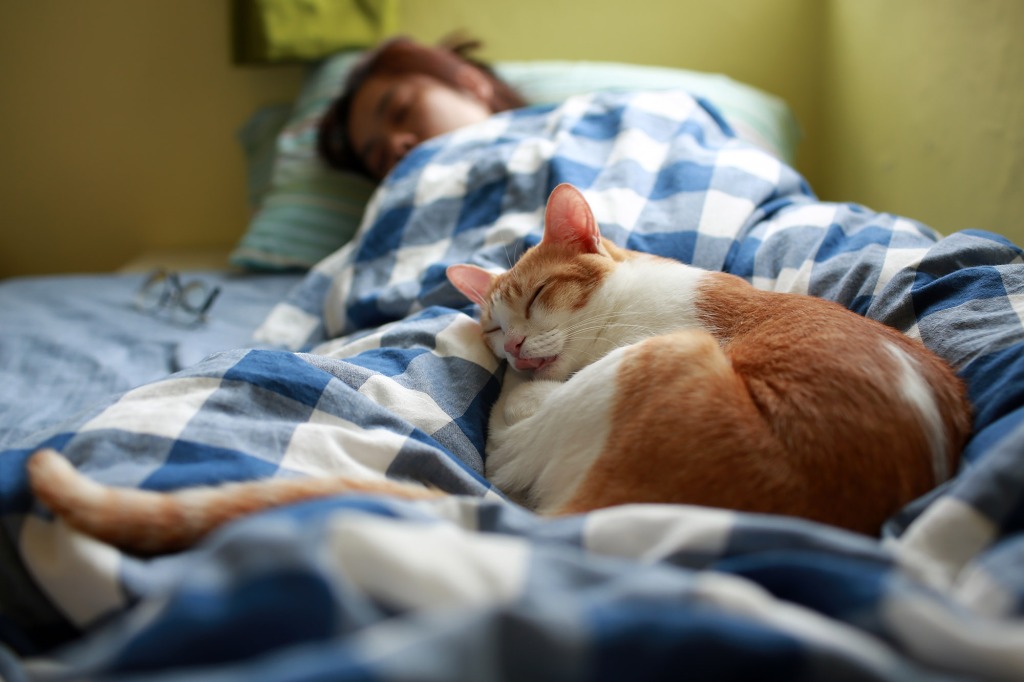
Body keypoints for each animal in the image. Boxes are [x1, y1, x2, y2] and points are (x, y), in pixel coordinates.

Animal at [22, 184, 966, 552]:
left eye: (537, 297)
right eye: (493, 314)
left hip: (666, 360)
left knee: (507, 454)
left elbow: (511, 433)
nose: (505, 344)